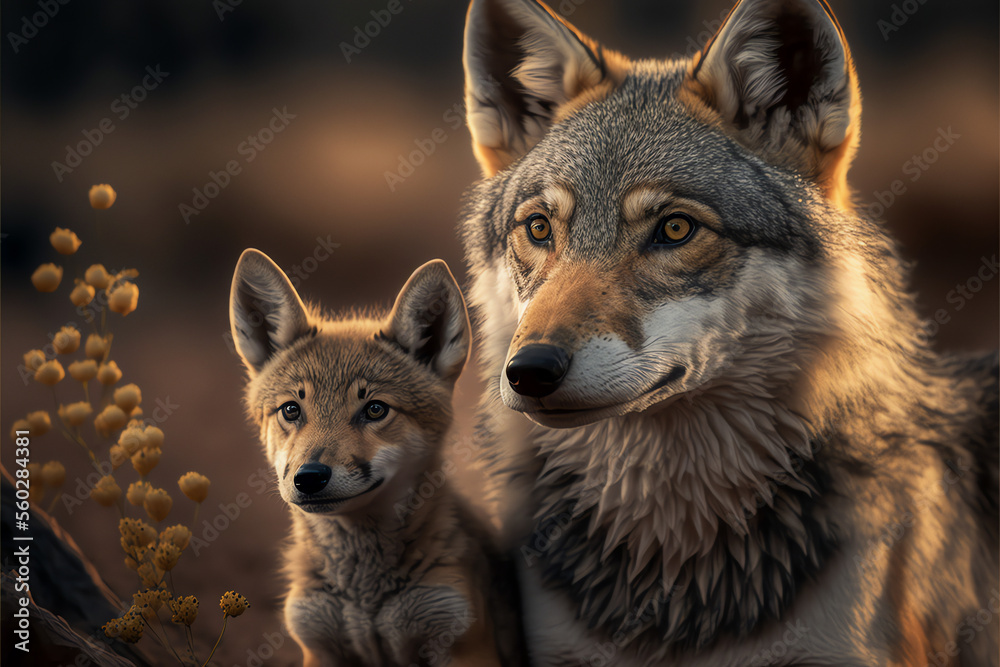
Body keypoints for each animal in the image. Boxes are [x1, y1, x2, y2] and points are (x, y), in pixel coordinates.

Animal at [229, 250, 526, 666]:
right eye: (291, 410)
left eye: (374, 409)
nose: (309, 477)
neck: (365, 598)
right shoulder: (318, 643)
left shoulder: (460, 640)